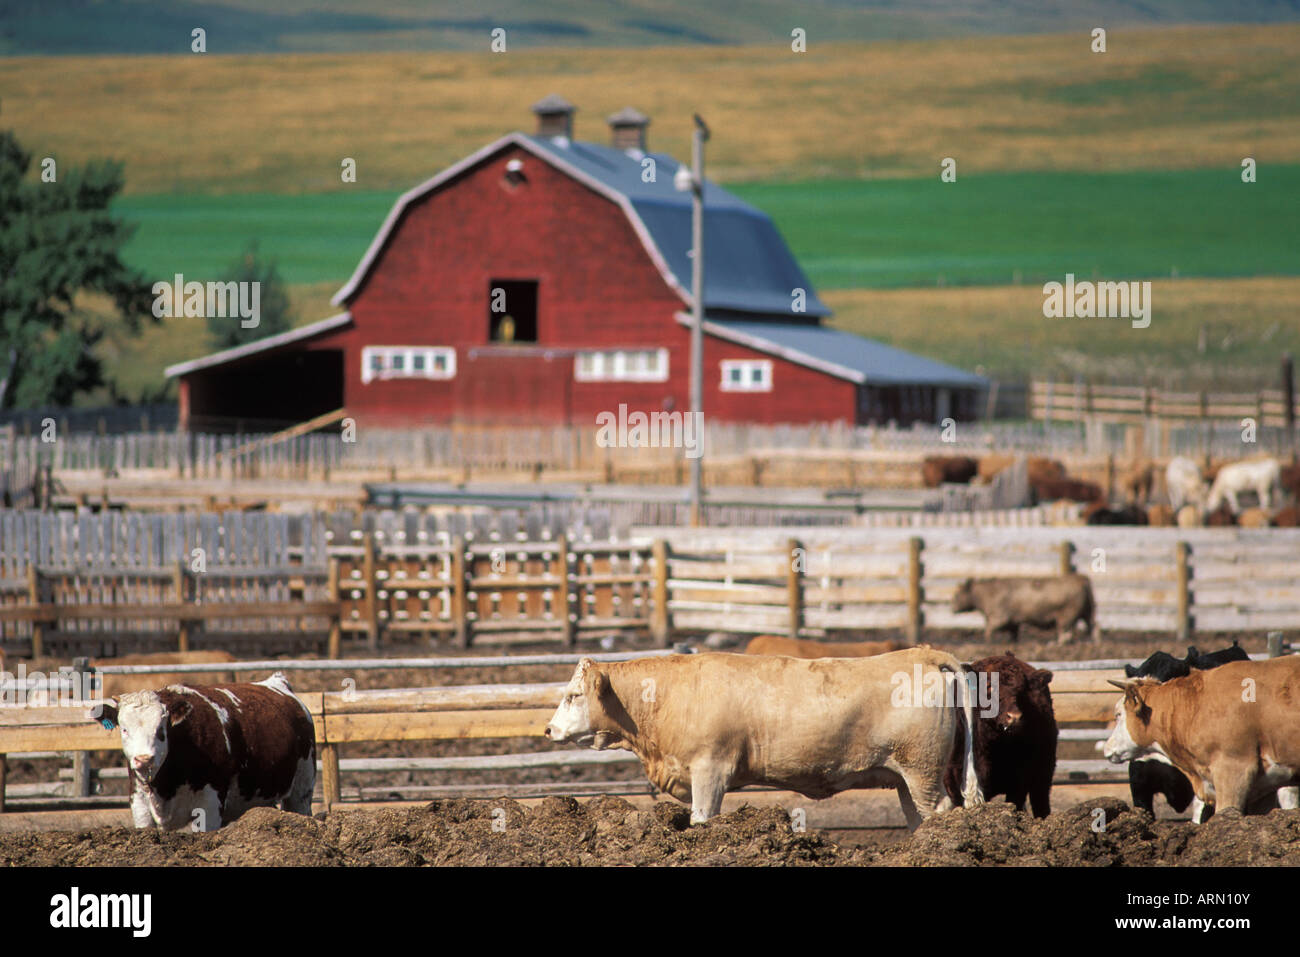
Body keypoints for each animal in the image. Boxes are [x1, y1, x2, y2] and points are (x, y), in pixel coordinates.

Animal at [94, 670, 317, 832]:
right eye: (124, 729)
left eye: (161, 730)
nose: (144, 759)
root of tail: (277, 683)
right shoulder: (140, 803)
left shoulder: (209, 805)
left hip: (301, 791)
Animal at [543, 650, 977, 832]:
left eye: (574, 695)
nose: (548, 730)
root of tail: (921, 653)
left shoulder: (710, 770)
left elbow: (703, 820)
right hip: (906, 777)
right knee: (917, 817)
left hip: (922, 770)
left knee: (940, 810)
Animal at [951, 572, 1092, 647]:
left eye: (957, 595)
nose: (952, 609)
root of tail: (1080, 578)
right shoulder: (1013, 622)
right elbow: (1014, 634)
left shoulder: (999, 617)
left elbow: (988, 630)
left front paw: (987, 642)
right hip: (1087, 613)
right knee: (1092, 628)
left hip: (1066, 617)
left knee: (1065, 633)